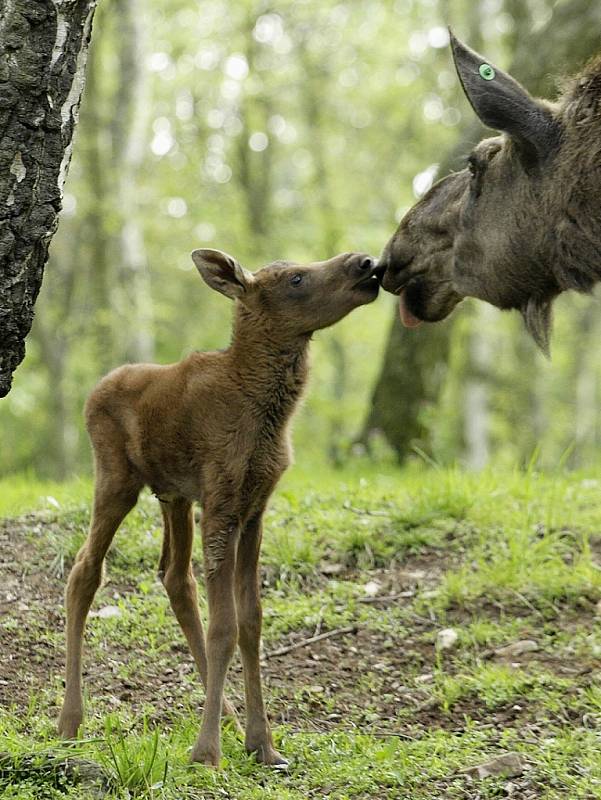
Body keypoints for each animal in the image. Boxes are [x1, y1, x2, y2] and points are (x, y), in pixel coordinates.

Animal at [61, 247, 380, 764]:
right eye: (296, 278)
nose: (365, 261)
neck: (267, 416)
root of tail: (95, 390)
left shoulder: (253, 511)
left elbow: (251, 622)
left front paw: (262, 743)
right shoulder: (222, 502)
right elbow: (224, 627)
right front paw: (206, 752)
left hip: (173, 494)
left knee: (174, 577)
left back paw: (227, 712)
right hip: (116, 479)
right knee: (85, 570)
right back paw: (70, 721)